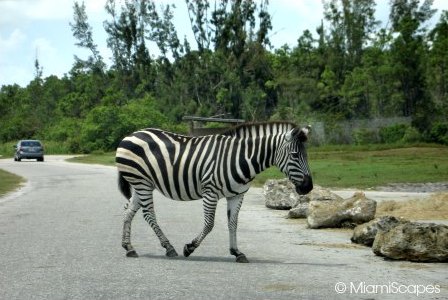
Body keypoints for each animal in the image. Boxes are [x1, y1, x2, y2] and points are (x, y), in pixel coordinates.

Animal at [115, 122, 312, 262]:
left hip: (141, 184)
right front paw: (189, 248)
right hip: (142, 182)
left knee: (127, 211)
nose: (308, 187)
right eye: (295, 155)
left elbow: (233, 223)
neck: (240, 158)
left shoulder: (237, 195)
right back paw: (169, 248)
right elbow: (209, 224)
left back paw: (129, 248)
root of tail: (131, 135)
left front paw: (237, 252)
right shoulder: (210, 192)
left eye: (306, 155)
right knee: (148, 214)